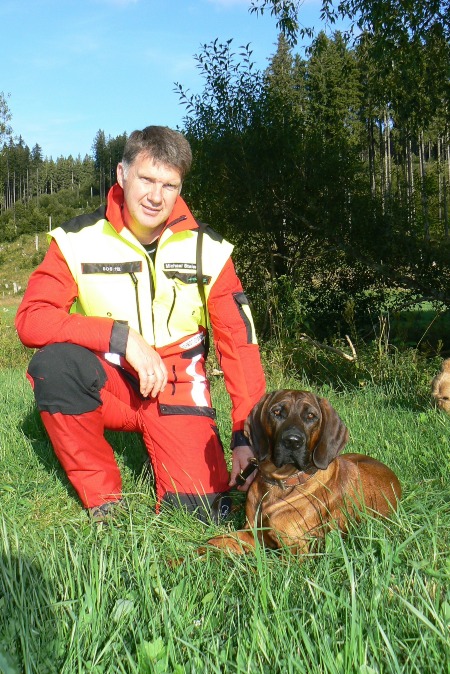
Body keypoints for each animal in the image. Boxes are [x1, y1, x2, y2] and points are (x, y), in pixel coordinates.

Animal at [206, 386, 402, 552]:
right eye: (277, 412)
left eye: (311, 416)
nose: (292, 441)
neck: (280, 482)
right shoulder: (251, 532)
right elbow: (214, 541)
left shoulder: (296, 550)